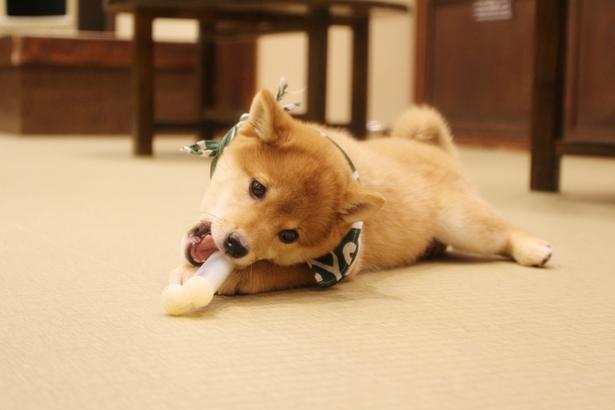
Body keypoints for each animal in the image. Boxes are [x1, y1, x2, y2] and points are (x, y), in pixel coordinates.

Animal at [168, 89, 552, 294]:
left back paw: (534, 248)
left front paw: (224, 278)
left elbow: (263, 273)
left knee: (503, 232)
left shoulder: (337, 269)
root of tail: (435, 148)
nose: (236, 245)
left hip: (465, 225)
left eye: (289, 236)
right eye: (257, 188)